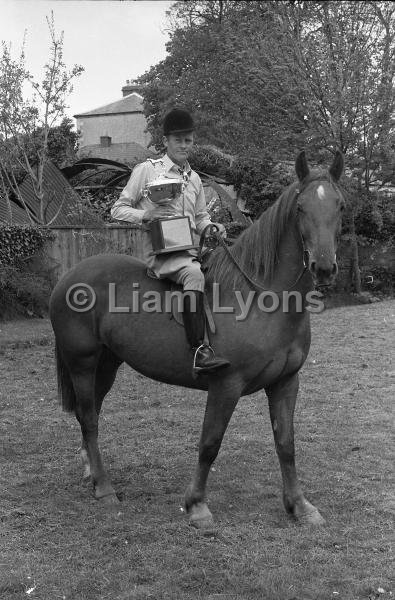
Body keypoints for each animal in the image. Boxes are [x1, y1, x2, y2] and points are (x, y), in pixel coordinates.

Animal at [49, 151, 346, 528]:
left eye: (340, 205)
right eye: (300, 207)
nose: (324, 267)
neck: (261, 296)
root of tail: (70, 276)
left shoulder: (286, 382)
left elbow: (286, 443)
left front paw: (300, 506)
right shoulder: (226, 385)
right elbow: (210, 443)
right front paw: (197, 506)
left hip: (107, 364)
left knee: (90, 415)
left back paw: (91, 471)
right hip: (82, 363)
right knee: (88, 417)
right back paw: (104, 488)